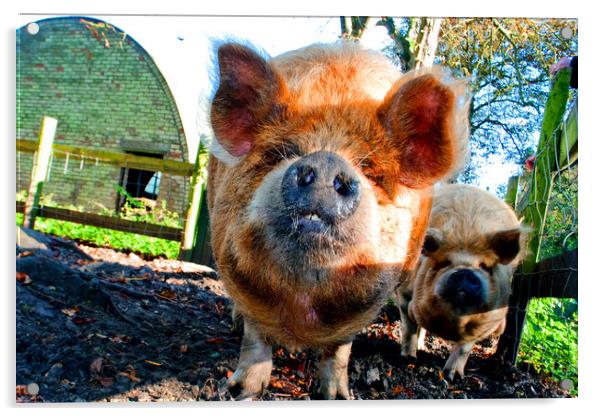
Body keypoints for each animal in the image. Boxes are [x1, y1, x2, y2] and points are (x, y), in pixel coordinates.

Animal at [206, 42, 468, 400]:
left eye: (370, 169)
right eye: (283, 152)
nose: (325, 161)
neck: (302, 303)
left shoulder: (363, 308)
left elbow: (340, 350)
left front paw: (337, 396)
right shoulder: (240, 278)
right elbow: (255, 336)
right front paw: (239, 391)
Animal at [396, 184, 528, 380]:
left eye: (486, 267)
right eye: (444, 263)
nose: (465, 273)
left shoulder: (482, 326)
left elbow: (464, 348)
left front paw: (452, 377)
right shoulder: (404, 294)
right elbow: (409, 328)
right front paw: (408, 359)